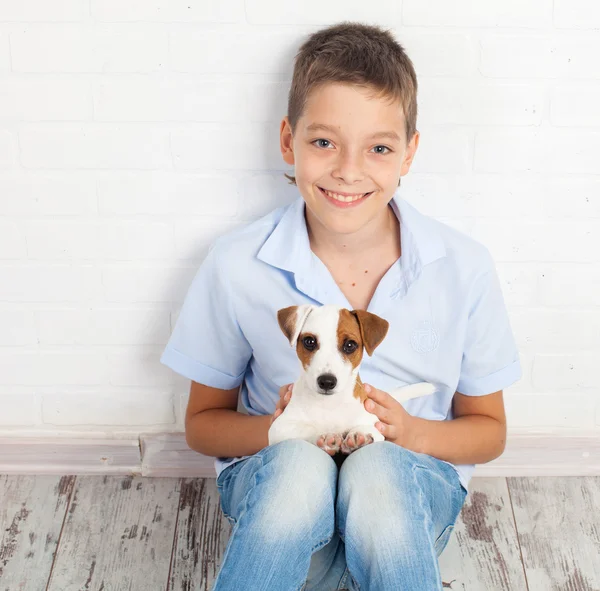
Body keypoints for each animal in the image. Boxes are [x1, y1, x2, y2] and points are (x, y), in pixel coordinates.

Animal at [268, 302, 436, 456]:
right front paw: (325, 434)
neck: (329, 404)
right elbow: (306, 428)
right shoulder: (279, 427)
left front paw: (359, 435)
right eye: (309, 341)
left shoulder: (375, 425)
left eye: (350, 345)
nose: (327, 382)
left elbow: (368, 428)